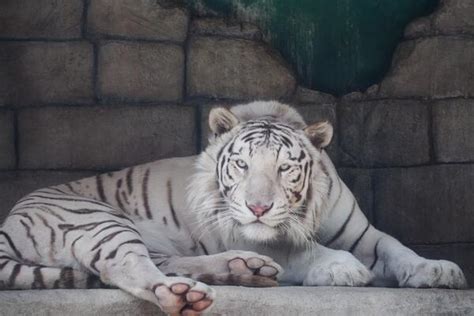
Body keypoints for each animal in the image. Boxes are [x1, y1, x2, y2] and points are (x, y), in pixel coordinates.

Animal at [0, 101, 466, 314]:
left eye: (284, 168)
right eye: (241, 164)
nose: (258, 207)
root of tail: (9, 218)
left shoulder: (364, 235)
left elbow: (396, 247)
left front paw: (437, 269)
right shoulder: (258, 234)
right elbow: (301, 250)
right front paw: (342, 267)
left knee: (167, 261)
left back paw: (244, 269)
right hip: (97, 219)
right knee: (127, 267)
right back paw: (184, 294)